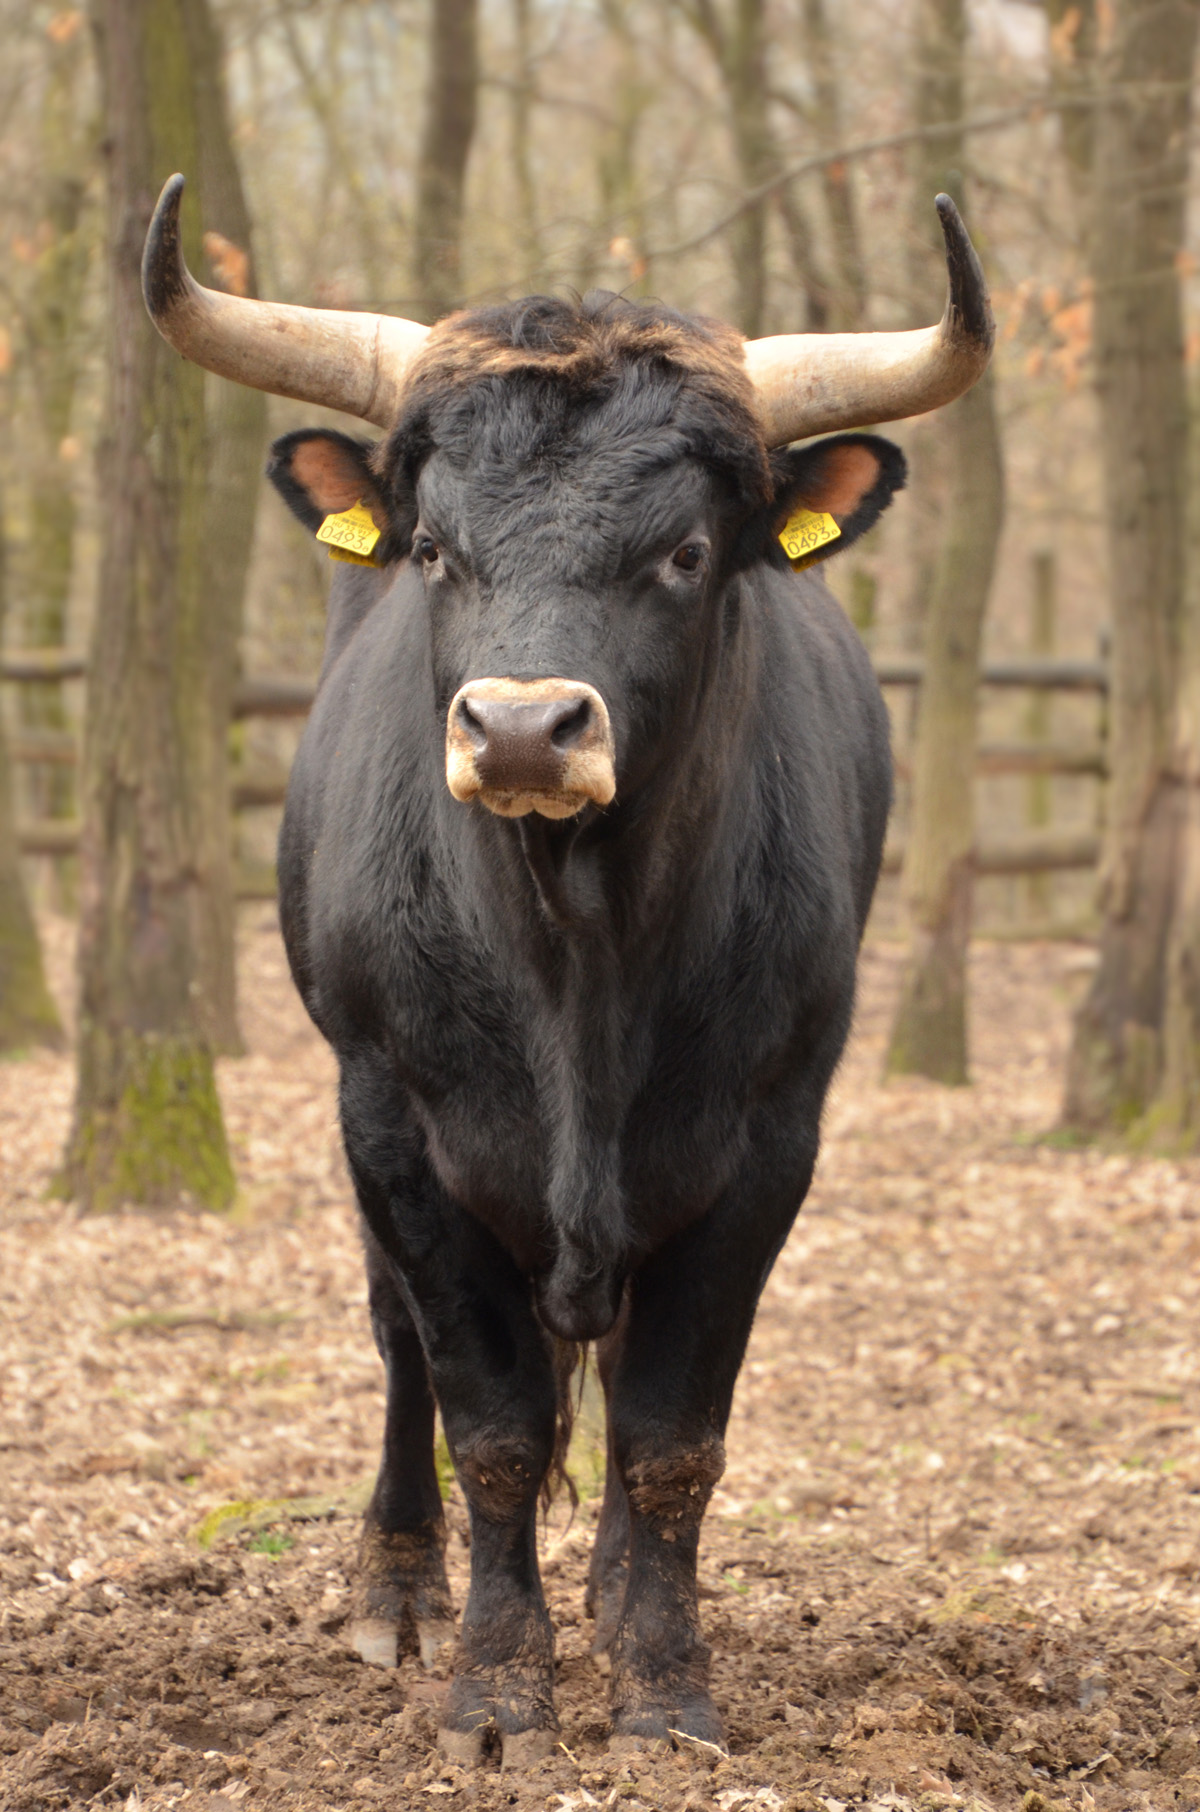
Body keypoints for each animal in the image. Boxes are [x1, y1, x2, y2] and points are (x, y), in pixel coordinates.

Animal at [138, 180, 993, 1754]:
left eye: (686, 552)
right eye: (435, 547)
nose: (526, 729)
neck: (579, 961)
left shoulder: (769, 1141)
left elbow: (669, 1437)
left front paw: (660, 1680)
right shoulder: (395, 1126)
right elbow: (488, 1421)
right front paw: (490, 1684)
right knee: (402, 1346)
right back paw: (400, 1589)